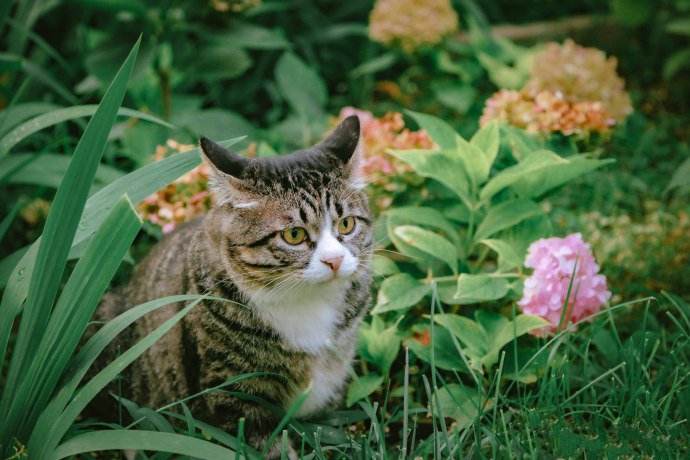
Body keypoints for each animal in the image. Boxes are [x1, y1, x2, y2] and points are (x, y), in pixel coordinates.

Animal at [92, 115, 370, 456]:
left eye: (347, 224)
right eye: (294, 235)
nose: (334, 260)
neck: (307, 302)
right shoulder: (235, 393)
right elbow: (265, 445)